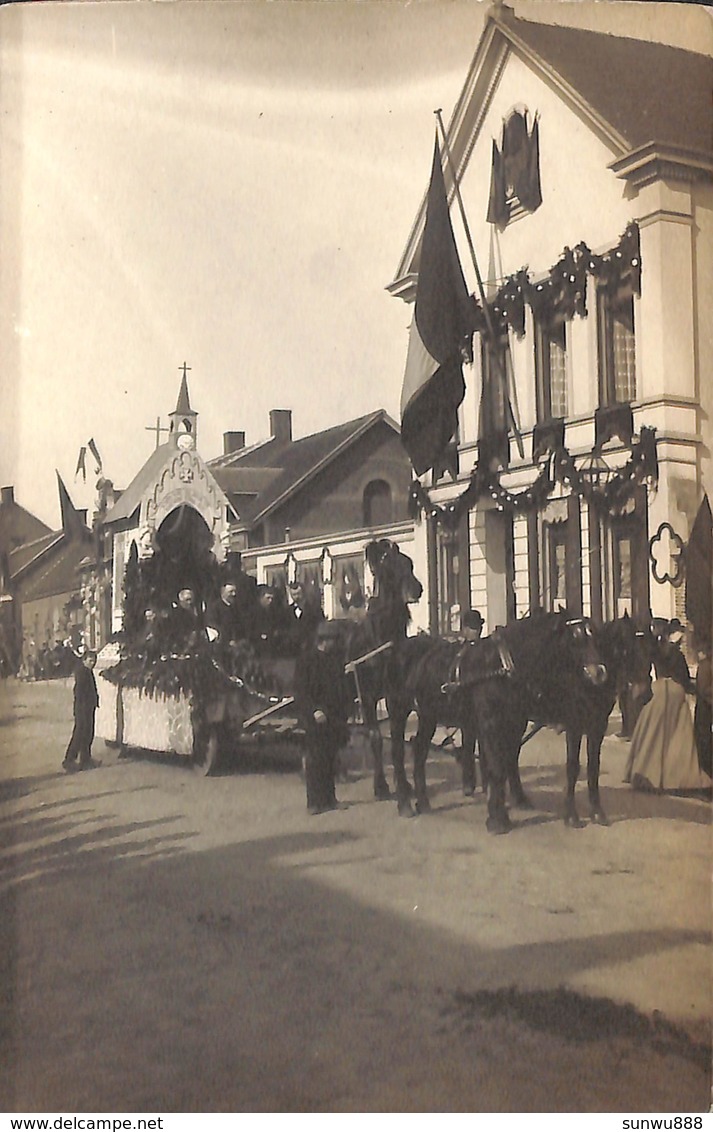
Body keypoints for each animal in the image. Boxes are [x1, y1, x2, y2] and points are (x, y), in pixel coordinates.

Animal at [330, 541, 425, 801]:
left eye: (410, 564)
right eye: (389, 567)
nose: (417, 589)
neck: (380, 639)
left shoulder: (396, 696)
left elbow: (397, 741)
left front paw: (404, 785)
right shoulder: (368, 697)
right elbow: (375, 738)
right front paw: (381, 786)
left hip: (344, 698)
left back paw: (340, 772)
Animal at [384, 611, 611, 833]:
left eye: (596, 637)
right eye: (575, 639)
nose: (599, 672)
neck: (501, 667)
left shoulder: (513, 723)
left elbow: (506, 763)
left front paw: (502, 810)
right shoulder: (491, 725)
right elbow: (497, 767)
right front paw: (497, 820)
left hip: (428, 714)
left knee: (419, 749)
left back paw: (423, 801)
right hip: (398, 711)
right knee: (397, 753)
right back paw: (404, 803)